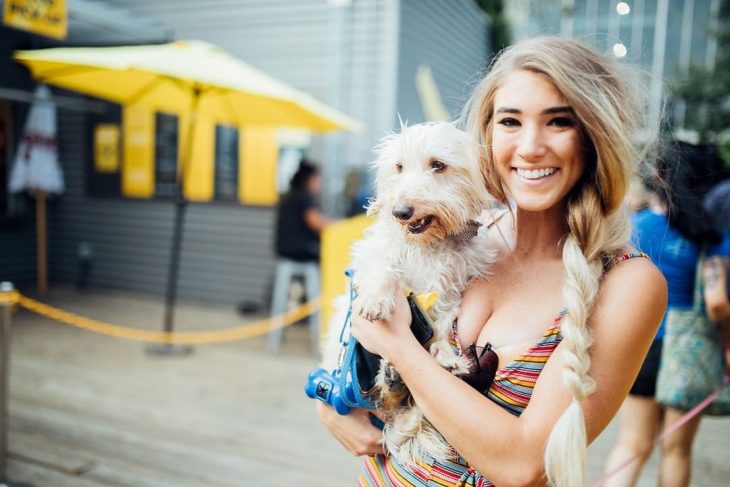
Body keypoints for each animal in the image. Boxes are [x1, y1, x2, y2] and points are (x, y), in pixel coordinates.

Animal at [322, 122, 494, 466]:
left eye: (438, 165)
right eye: (399, 167)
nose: (400, 211)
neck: (429, 245)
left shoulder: (454, 286)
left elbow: (443, 320)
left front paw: (445, 354)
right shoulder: (375, 254)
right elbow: (385, 269)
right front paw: (376, 300)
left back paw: (398, 380)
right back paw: (390, 380)